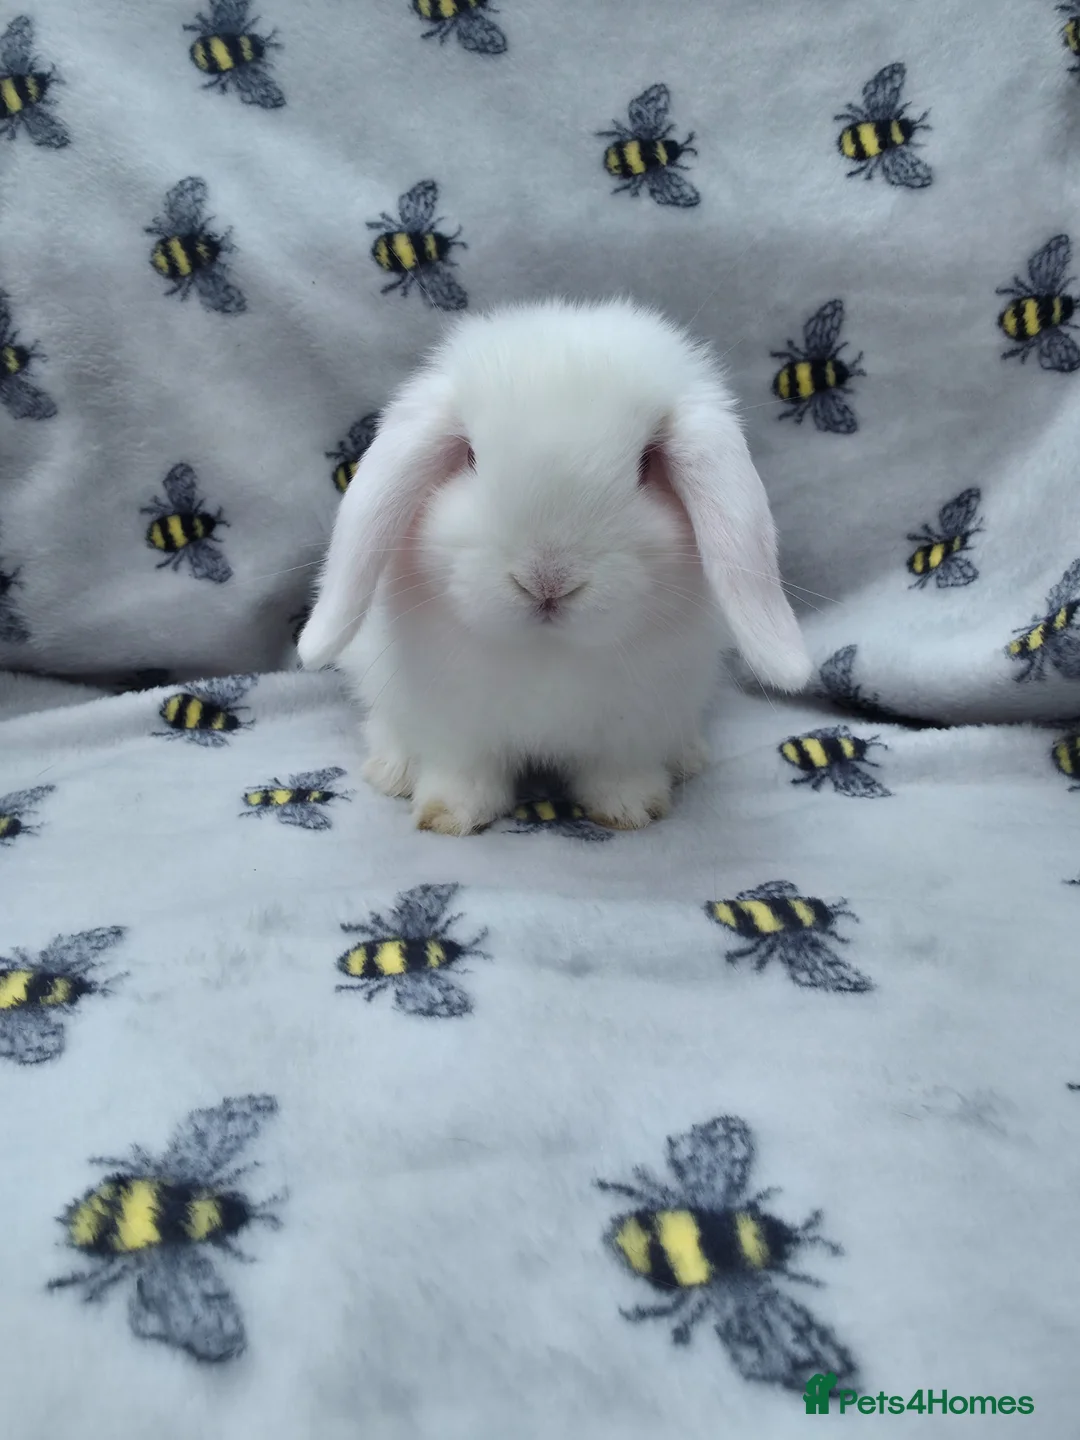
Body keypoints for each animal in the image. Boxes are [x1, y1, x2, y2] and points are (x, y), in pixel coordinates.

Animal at [298, 297, 811, 835]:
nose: (547, 582)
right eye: (471, 456)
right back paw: (390, 770)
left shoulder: (635, 727)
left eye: (646, 463)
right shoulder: (453, 723)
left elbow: (619, 772)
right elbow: (462, 771)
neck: (548, 651)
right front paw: (450, 816)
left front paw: (631, 810)